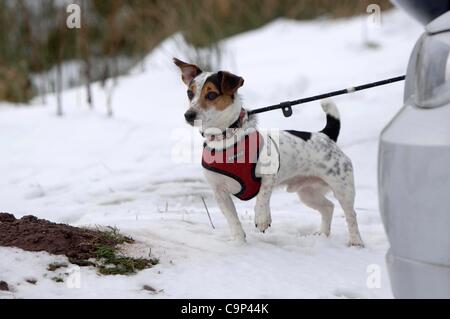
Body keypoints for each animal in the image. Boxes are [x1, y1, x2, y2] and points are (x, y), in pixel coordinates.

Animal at [174, 58, 364, 248]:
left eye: (211, 95)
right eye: (190, 93)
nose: (188, 115)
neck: (227, 140)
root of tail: (325, 135)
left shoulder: (269, 175)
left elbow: (263, 196)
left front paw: (262, 219)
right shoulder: (219, 192)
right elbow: (232, 218)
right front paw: (238, 241)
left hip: (342, 188)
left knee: (351, 214)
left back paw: (355, 241)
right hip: (308, 193)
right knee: (328, 207)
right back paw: (323, 233)